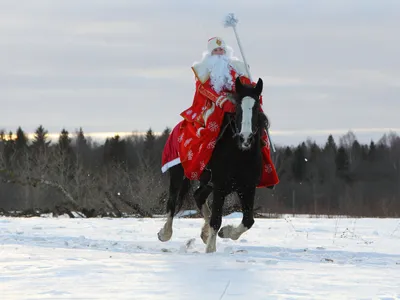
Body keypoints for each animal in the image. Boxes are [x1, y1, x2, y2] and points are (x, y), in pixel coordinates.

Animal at [157, 76, 268, 252]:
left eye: (256, 107)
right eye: (238, 108)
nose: (245, 138)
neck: (240, 155)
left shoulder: (247, 187)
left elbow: (248, 220)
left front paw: (224, 232)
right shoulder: (220, 186)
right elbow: (217, 220)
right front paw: (210, 250)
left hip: (208, 183)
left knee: (198, 196)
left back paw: (204, 233)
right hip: (177, 173)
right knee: (172, 201)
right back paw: (165, 234)